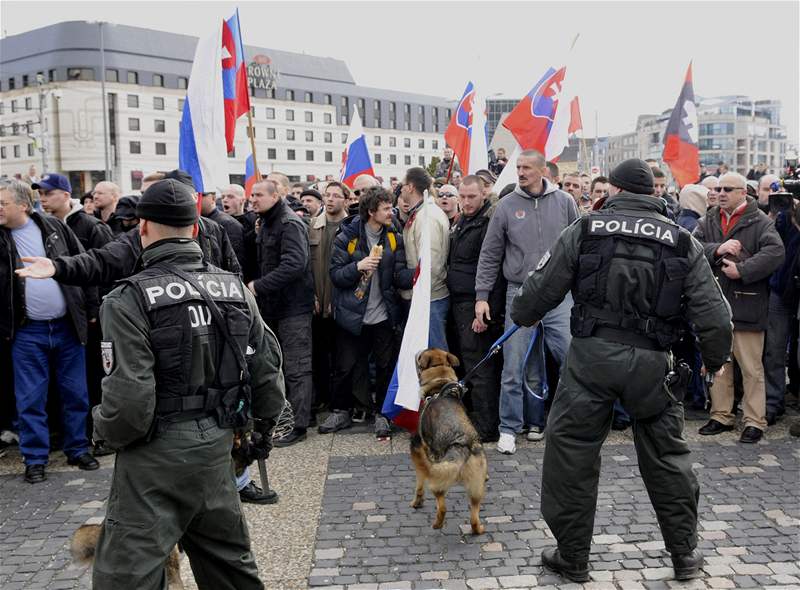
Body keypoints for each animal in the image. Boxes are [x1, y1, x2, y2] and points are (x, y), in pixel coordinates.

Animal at [412, 346, 488, 536]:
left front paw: (417, 502)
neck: (440, 388)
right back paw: (478, 529)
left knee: (442, 508)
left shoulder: (425, 452)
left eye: (420, 357)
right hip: (476, 489)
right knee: (474, 516)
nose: (416, 353)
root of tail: (462, 445)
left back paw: (437, 524)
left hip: (438, 480)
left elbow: (419, 483)